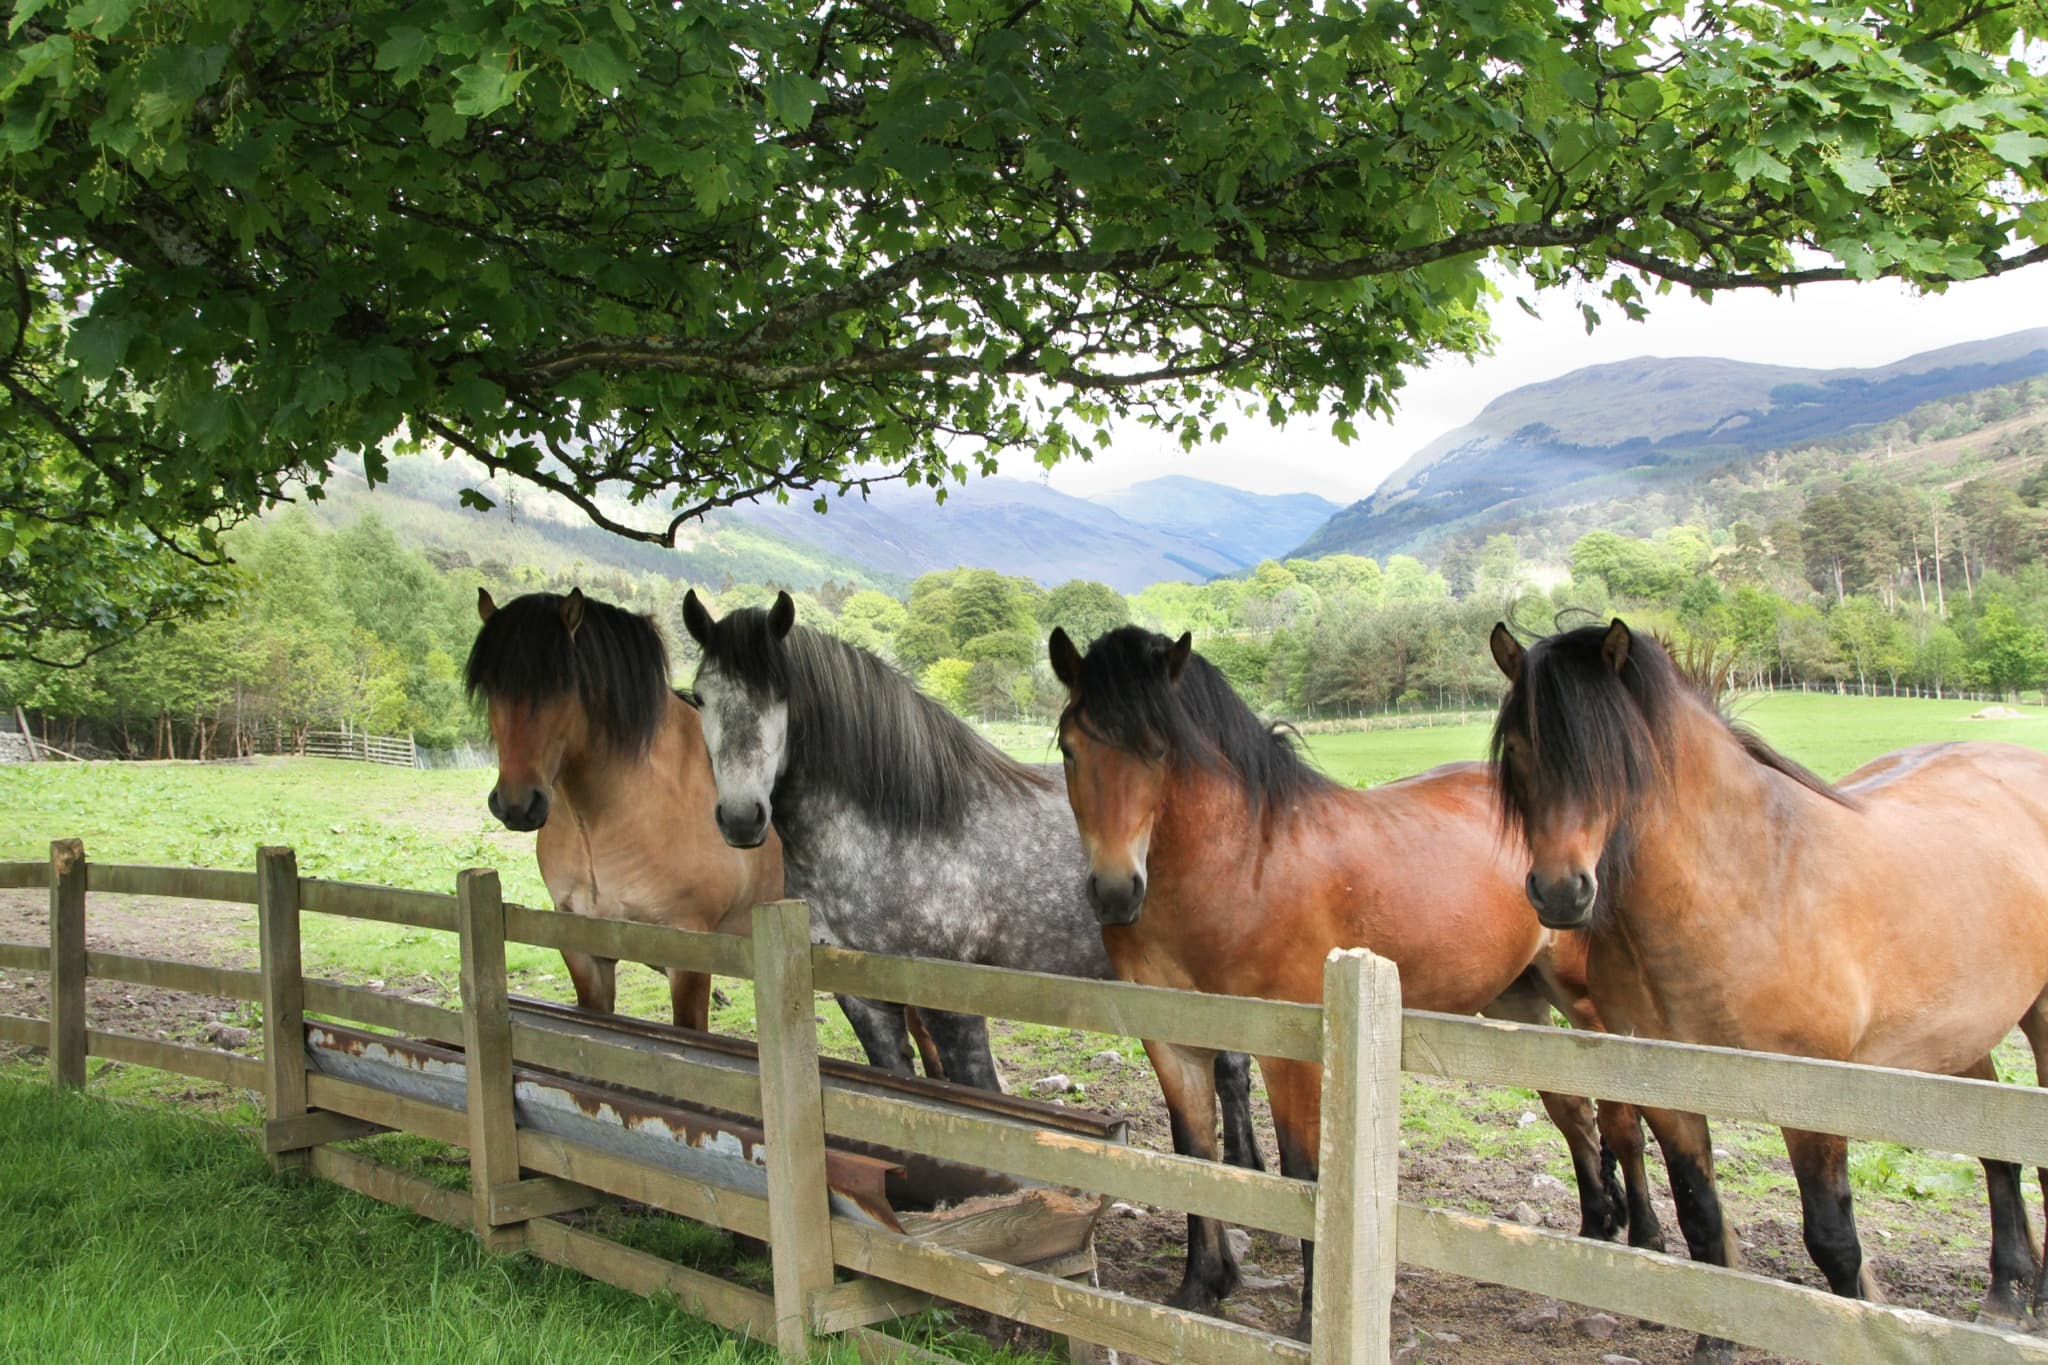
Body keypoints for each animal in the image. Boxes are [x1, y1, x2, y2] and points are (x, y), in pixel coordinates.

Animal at [679, 590, 1267, 1170]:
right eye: (700, 698)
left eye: (780, 695)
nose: (741, 818)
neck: (895, 829)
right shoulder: (863, 1001)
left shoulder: (951, 1001)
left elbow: (979, 1102)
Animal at [1049, 623, 1657, 1337]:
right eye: (1070, 747)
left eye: (1158, 748)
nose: (1116, 892)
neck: (1239, 866)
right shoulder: (1173, 1044)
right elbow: (1194, 1156)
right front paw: (1201, 1287)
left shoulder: (1293, 1055)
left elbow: (1305, 1173)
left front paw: (1313, 1314)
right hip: (1520, 1000)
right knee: (1574, 1115)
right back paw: (1593, 1233)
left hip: (1587, 1005)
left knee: (1623, 1118)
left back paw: (1645, 1247)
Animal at [1490, 617, 2048, 1357]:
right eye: (1521, 749)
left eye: (1615, 756)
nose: (1560, 892)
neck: (1751, 885)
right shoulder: (1669, 1093)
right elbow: (1702, 1221)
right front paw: (1715, 1344)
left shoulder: (1812, 1094)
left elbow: (1834, 1240)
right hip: (1956, 1035)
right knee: (1997, 1152)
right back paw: (2009, 1293)